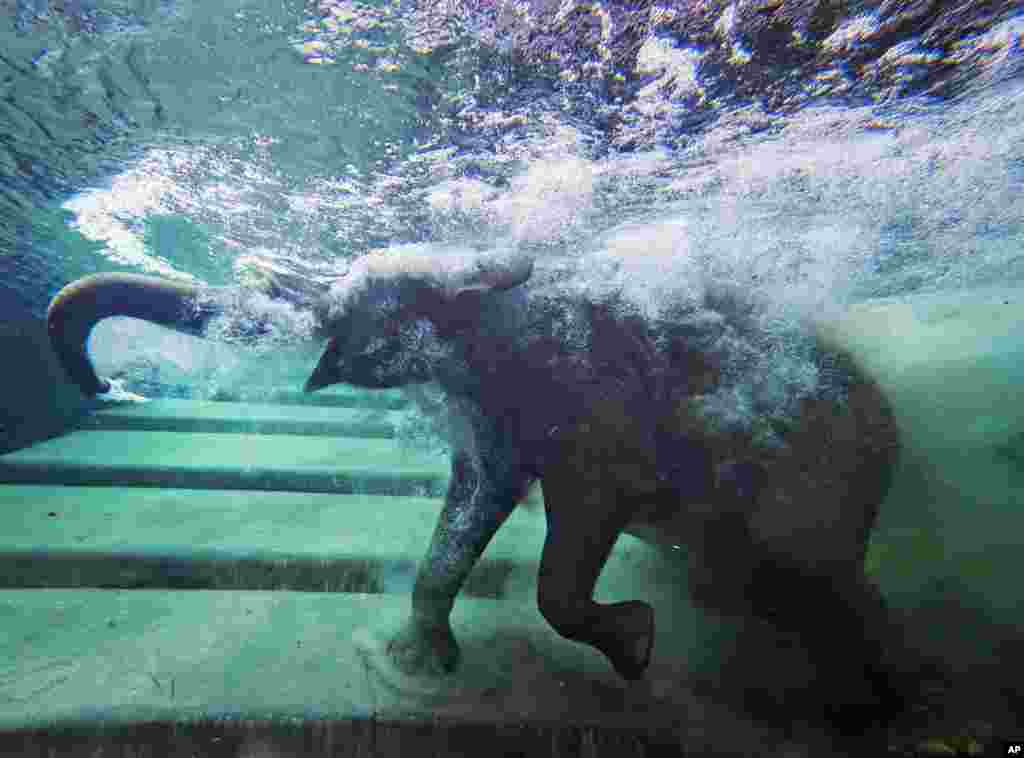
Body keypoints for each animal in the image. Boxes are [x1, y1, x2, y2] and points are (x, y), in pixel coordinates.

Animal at [46, 251, 913, 729]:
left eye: (347, 301)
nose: (111, 387)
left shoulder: (596, 405)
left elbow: (573, 537)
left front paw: (635, 646)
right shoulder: (498, 420)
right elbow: (475, 501)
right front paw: (421, 665)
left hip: (823, 488)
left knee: (823, 578)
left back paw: (869, 706)